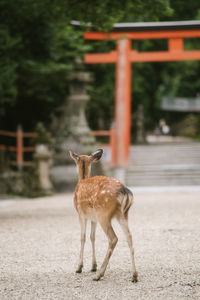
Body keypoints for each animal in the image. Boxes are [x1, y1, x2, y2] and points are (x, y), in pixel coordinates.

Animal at [69, 149, 138, 282]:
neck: (81, 181)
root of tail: (124, 192)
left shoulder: (81, 214)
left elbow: (83, 237)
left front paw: (79, 267)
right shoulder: (93, 218)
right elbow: (92, 237)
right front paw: (93, 266)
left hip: (103, 214)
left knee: (113, 238)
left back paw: (99, 275)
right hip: (122, 214)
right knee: (129, 237)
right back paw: (134, 276)